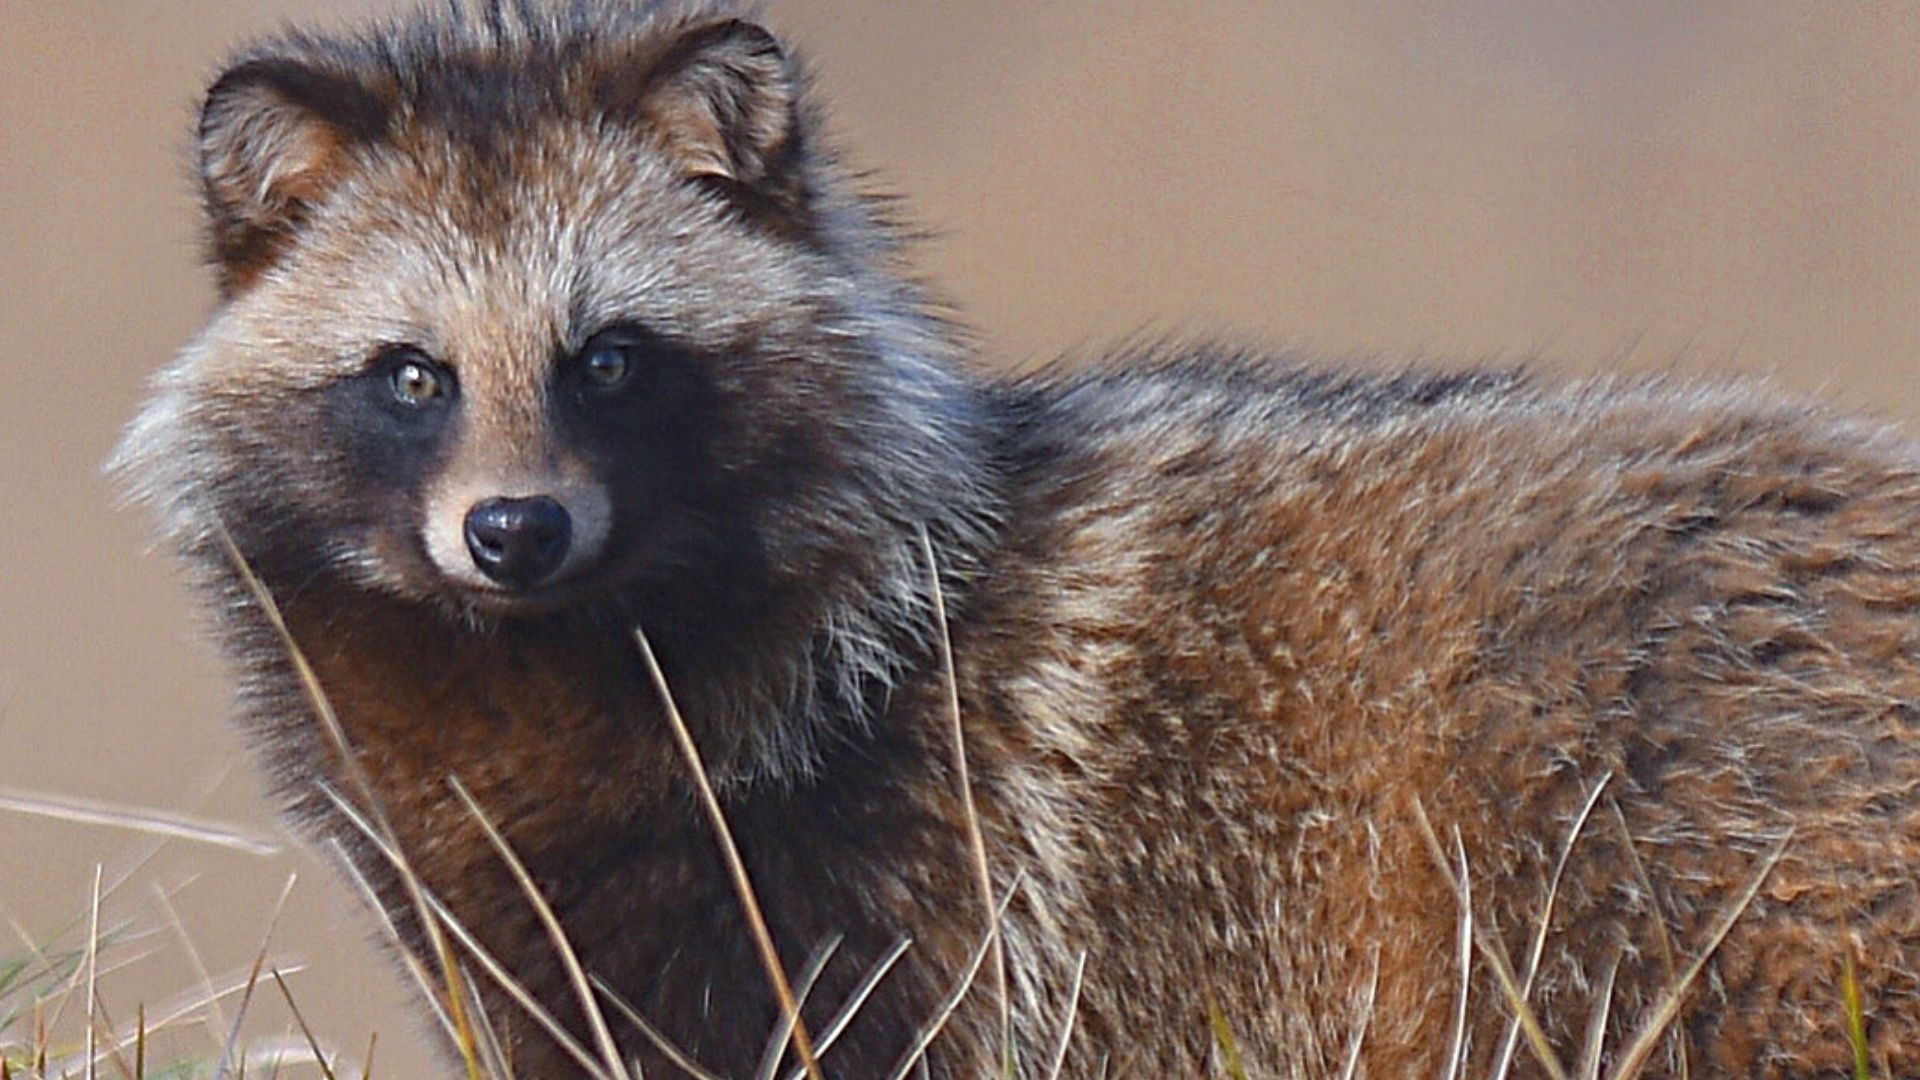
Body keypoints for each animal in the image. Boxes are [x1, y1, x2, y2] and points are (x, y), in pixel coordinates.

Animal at [115, 1, 1920, 1077]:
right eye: (411, 375)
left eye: (608, 357)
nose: (512, 530)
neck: (556, 665)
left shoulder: (915, 904)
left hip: (1679, 877)